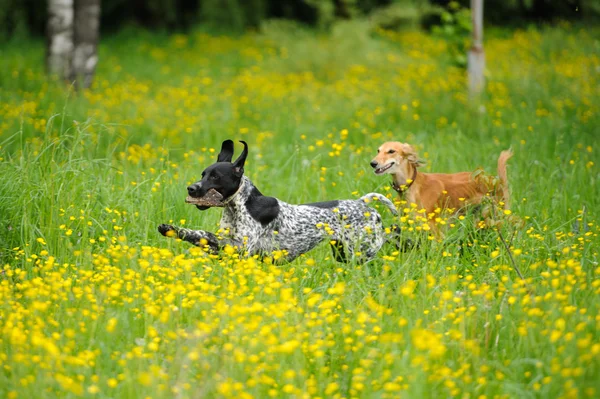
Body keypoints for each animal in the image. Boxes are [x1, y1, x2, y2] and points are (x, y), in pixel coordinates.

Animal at [161, 139, 404, 264]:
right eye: (203, 174)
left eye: (215, 177)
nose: (191, 188)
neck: (240, 206)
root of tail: (363, 204)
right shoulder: (223, 250)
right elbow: (199, 236)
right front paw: (173, 229)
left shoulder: (240, 247)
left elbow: (206, 234)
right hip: (343, 253)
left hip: (362, 251)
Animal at [370, 142, 510, 236]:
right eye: (378, 150)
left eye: (391, 151)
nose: (373, 163)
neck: (413, 185)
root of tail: (495, 179)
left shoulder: (435, 230)